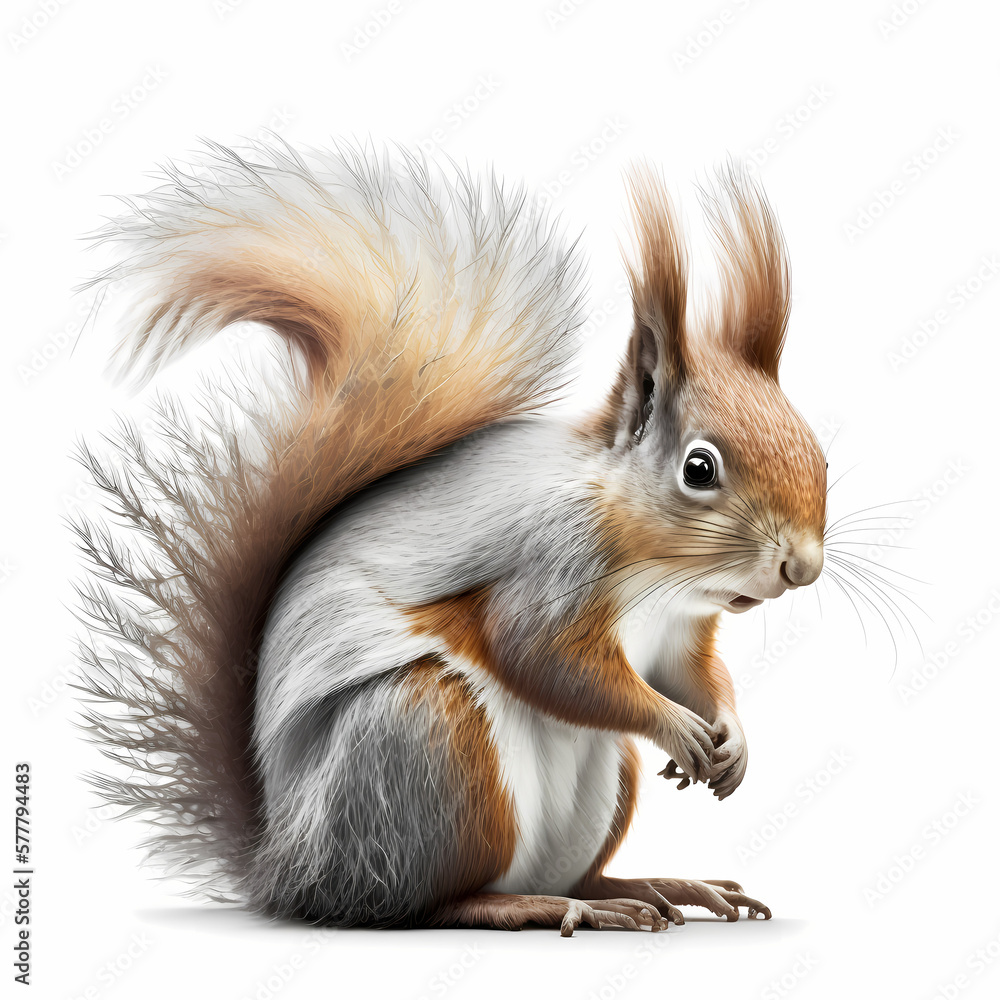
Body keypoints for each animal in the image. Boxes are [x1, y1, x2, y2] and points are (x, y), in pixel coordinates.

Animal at [74, 139, 827, 936]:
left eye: (820, 453)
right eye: (699, 467)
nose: (803, 567)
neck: (658, 575)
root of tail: (286, 867)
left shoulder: (681, 632)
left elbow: (694, 676)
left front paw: (732, 738)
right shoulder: (553, 563)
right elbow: (544, 657)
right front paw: (677, 727)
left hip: (599, 781)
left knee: (577, 869)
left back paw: (650, 887)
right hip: (425, 745)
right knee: (426, 900)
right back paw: (543, 904)